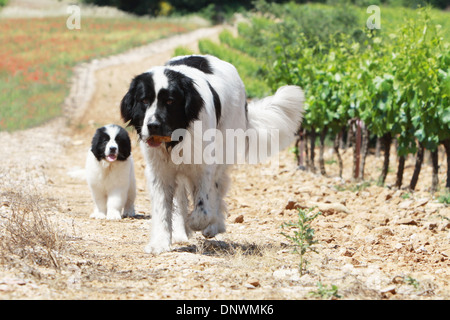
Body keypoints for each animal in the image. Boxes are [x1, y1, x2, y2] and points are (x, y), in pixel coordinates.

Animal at [119, 55, 304, 255]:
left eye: (170, 101)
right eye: (144, 100)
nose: (153, 125)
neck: (178, 138)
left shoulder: (203, 167)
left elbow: (203, 206)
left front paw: (197, 222)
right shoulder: (160, 172)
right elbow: (163, 207)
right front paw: (160, 243)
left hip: (223, 152)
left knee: (217, 191)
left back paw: (214, 226)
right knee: (181, 197)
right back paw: (181, 232)